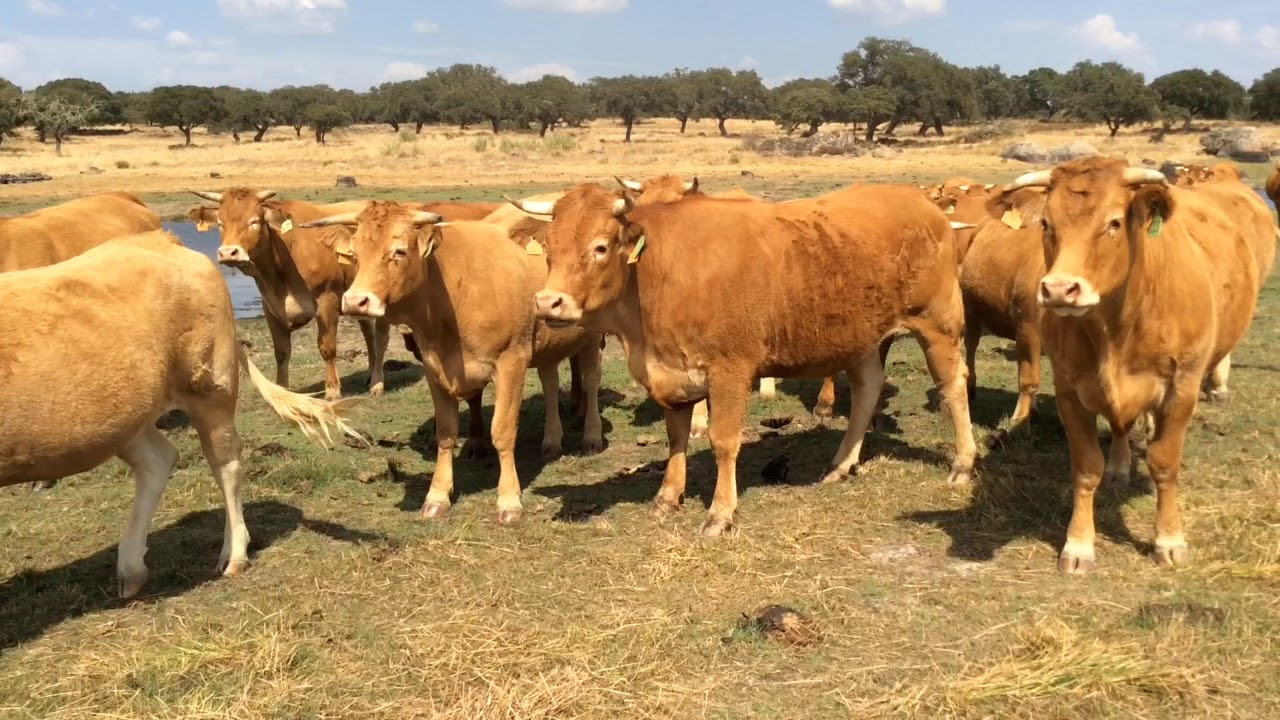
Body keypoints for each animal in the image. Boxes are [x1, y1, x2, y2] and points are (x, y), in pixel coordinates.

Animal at [0, 230, 362, 598]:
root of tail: (163, 239)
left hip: (210, 390)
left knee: (226, 464)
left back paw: (234, 554)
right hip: (123, 418)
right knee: (157, 460)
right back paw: (132, 570)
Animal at [299, 201, 605, 524]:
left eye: (399, 251)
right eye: (355, 254)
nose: (356, 302)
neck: (454, 295)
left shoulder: (511, 361)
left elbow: (503, 431)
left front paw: (509, 499)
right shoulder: (435, 367)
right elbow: (446, 432)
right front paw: (437, 495)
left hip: (592, 336)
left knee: (591, 378)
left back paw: (591, 436)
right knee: (550, 382)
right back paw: (551, 441)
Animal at [516, 182, 979, 536]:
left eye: (600, 247)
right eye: (549, 247)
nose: (548, 302)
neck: (657, 274)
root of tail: (923, 203)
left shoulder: (730, 371)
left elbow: (723, 442)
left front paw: (720, 514)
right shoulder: (672, 374)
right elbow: (676, 437)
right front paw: (668, 496)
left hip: (937, 323)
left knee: (953, 385)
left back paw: (961, 464)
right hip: (860, 337)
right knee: (867, 390)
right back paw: (841, 464)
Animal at [1009, 157, 1259, 573]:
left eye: (1113, 223)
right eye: (1046, 223)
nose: (1059, 289)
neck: (1116, 326)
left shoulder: (1182, 387)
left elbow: (1164, 463)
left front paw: (1169, 540)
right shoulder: (1069, 391)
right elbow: (1086, 468)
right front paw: (1079, 545)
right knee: (1120, 427)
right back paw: (1119, 464)